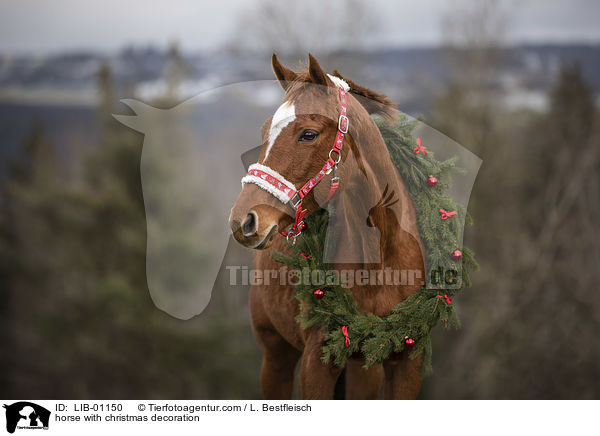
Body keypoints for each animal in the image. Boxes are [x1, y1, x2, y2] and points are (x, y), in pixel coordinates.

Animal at [227, 53, 424, 398]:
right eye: (265, 129)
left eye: (308, 133)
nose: (243, 220)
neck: (381, 258)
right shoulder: (316, 363)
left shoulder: (407, 363)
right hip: (275, 356)